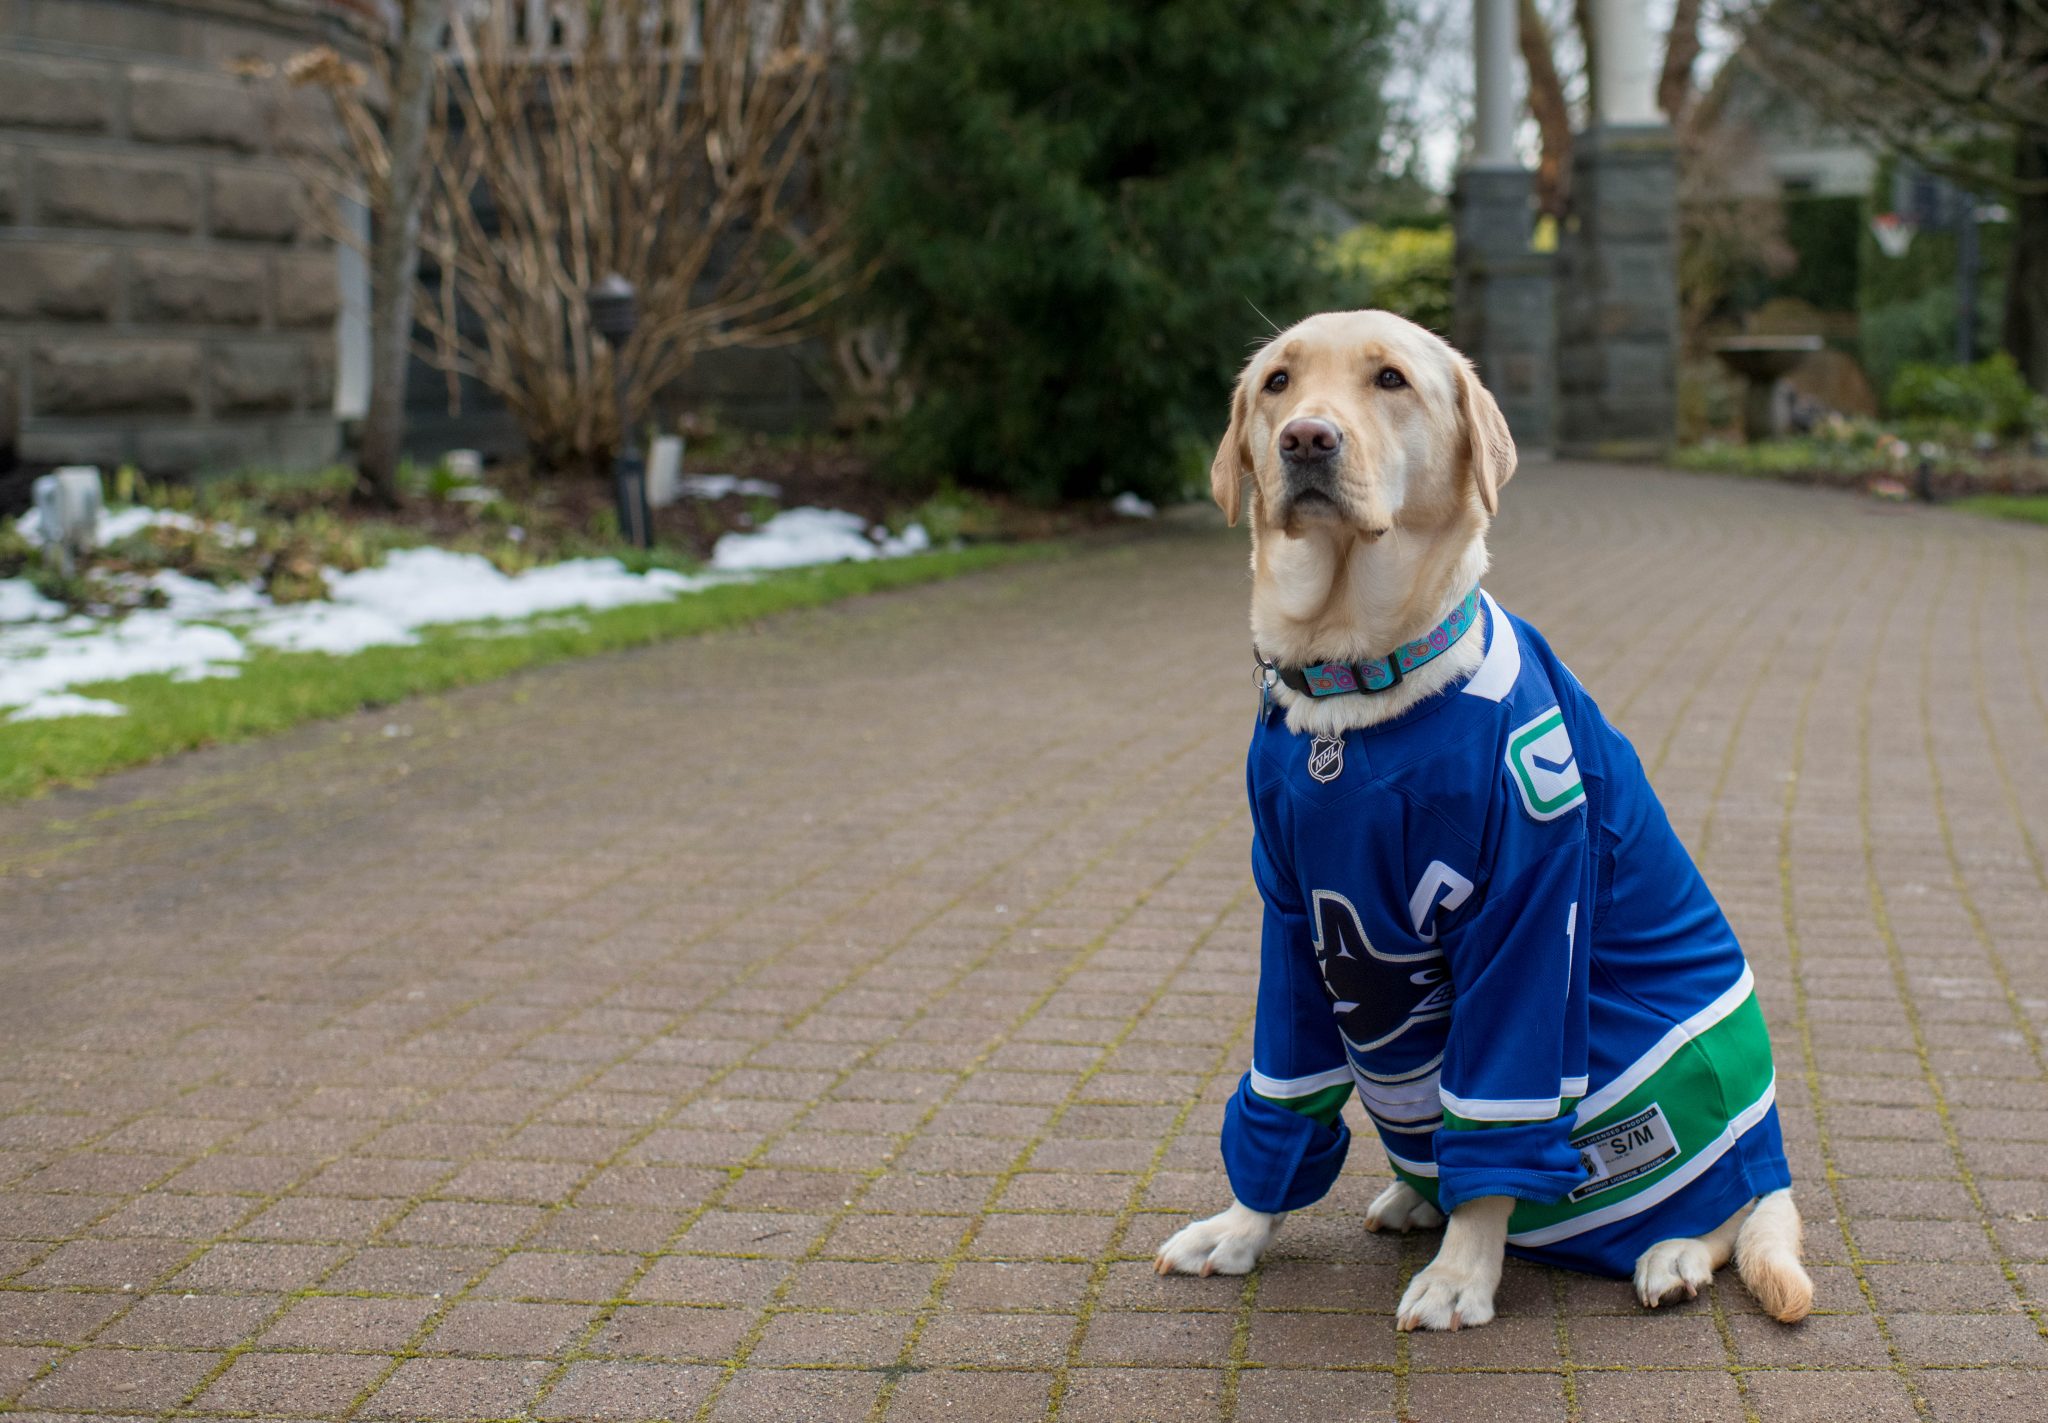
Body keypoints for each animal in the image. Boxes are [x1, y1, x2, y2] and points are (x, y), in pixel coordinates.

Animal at [1163, 311, 1818, 1334]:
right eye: (1277, 383)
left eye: (1391, 380)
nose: (1306, 439)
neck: (1355, 691)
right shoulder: (1292, 921)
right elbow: (1287, 1093)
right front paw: (1239, 1230)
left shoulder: (1526, 916)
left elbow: (1499, 1120)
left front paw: (1460, 1277)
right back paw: (1411, 1196)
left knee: (1736, 1210)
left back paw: (1671, 1251)